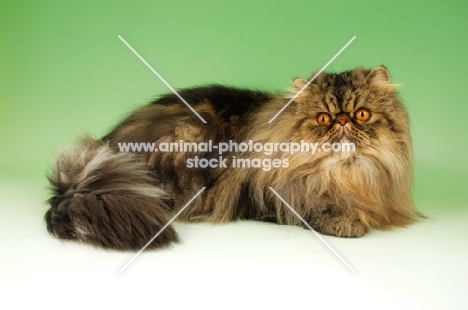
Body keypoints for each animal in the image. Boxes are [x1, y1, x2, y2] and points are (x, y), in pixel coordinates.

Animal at [44, 66, 420, 251]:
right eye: (323, 119)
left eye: (362, 114)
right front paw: (347, 220)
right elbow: (315, 206)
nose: (342, 122)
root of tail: (106, 147)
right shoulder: (273, 196)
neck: (345, 176)